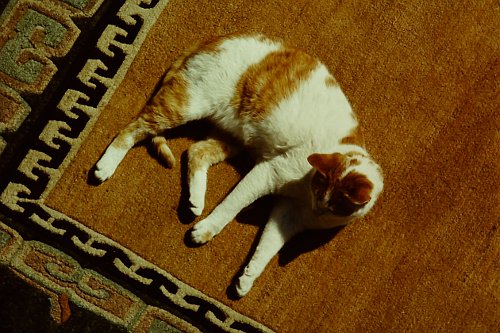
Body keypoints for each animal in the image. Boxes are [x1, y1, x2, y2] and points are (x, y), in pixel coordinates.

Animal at [93, 33, 382, 296]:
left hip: (232, 137)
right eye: (320, 190)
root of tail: (214, 38)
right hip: (185, 107)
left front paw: (248, 278)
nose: (316, 208)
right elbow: (232, 206)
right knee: (132, 128)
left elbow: (267, 248)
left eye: (331, 205)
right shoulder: (268, 173)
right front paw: (206, 230)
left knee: (195, 151)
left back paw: (195, 200)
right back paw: (106, 166)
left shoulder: (288, 214)